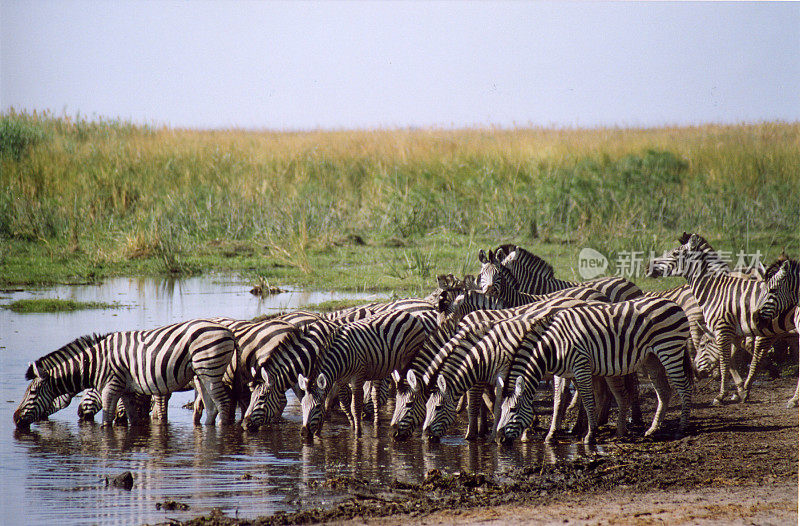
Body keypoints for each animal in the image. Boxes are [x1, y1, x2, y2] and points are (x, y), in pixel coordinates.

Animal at [14, 320, 236, 432]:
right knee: (211, 407)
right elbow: (134, 419)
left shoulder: (111, 387)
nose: (15, 419)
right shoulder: (127, 390)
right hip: (201, 374)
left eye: (32, 392)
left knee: (224, 403)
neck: (95, 363)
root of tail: (228, 331)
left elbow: (107, 420)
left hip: (209, 369)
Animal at [496, 296, 692, 446]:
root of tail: (674, 303)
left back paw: (682, 428)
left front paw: (589, 436)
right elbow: (558, 401)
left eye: (513, 409)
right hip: (652, 359)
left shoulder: (581, 365)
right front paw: (551, 435)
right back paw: (652, 429)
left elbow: (588, 401)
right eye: (503, 409)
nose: (499, 439)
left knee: (684, 388)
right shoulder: (564, 373)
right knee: (664, 391)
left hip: (670, 350)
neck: (553, 346)